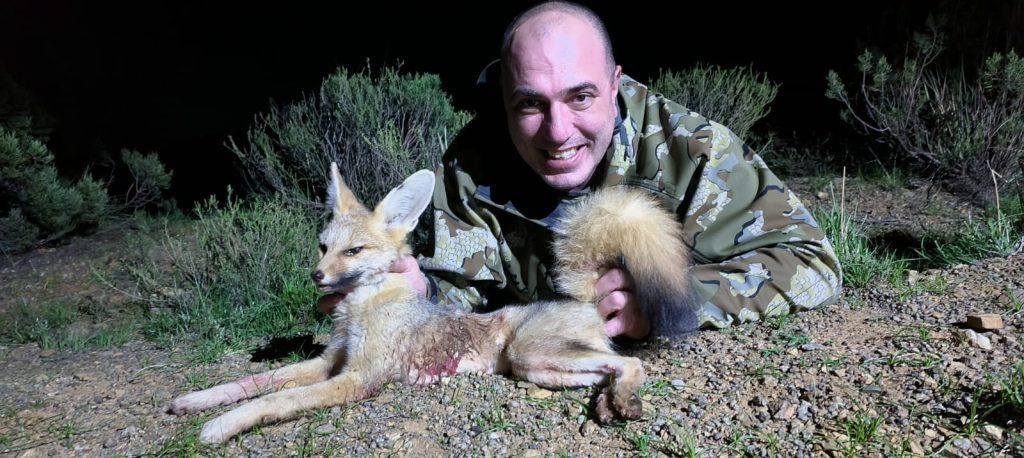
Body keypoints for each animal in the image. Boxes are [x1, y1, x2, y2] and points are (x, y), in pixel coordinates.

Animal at [168, 163, 697, 444]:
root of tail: (578, 297)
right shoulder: (328, 362)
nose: (316, 277)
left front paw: (220, 426)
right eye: (322, 247)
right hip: (538, 369)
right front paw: (200, 400)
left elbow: (276, 400)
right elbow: (255, 382)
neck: (360, 310)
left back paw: (622, 399)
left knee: (631, 362)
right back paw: (610, 402)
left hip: (532, 356)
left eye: (353, 252)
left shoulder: (356, 378)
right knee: (611, 368)